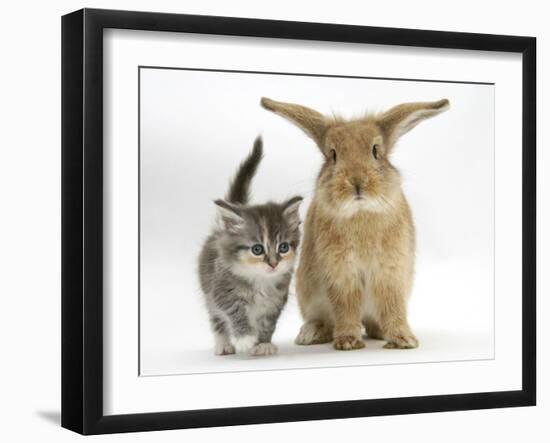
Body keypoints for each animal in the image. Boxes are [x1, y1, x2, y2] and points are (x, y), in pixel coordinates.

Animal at [198, 137, 304, 360]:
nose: (273, 263)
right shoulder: (221, 291)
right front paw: (245, 338)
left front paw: (262, 344)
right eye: (257, 250)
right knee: (216, 320)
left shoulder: (276, 301)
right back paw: (223, 344)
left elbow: (267, 324)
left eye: (283, 247)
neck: (259, 280)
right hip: (208, 293)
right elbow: (234, 311)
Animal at [260, 96, 450, 350]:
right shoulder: (341, 273)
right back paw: (310, 334)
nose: (357, 182)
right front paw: (348, 341)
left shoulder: (391, 272)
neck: (361, 212)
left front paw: (403, 339)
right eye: (333, 155)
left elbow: (393, 307)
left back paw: (379, 331)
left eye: (376, 151)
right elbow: (346, 307)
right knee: (322, 319)